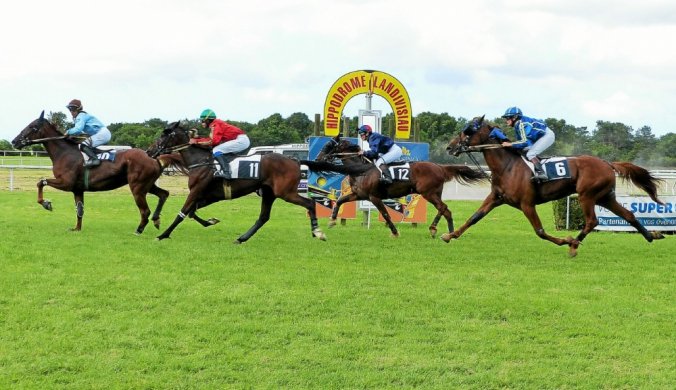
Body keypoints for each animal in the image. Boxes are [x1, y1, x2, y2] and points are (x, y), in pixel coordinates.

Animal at [11, 112, 170, 235]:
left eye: (32, 127)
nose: (14, 141)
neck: (64, 153)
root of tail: (154, 158)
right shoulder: (77, 189)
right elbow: (79, 210)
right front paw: (76, 228)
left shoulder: (66, 183)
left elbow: (40, 182)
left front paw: (46, 204)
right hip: (147, 185)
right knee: (164, 194)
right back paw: (156, 220)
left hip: (137, 187)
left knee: (145, 211)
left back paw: (139, 230)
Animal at [148, 122, 328, 244]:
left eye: (164, 135)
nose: (149, 151)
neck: (201, 161)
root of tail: (295, 161)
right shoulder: (208, 195)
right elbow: (191, 212)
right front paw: (211, 221)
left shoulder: (196, 191)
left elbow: (182, 213)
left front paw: (163, 235)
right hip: (269, 193)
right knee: (263, 217)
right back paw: (241, 238)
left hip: (285, 192)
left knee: (310, 203)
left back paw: (318, 232)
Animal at [302, 134, 486, 238]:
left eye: (328, 145)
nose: (317, 158)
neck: (362, 169)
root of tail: (440, 167)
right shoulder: (359, 194)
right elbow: (340, 201)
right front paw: (332, 221)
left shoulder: (374, 197)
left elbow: (385, 214)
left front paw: (395, 232)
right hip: (434, 193)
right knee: (445, 210)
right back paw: (448, 232)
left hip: (428, 193)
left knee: (444, 208)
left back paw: (436, 229)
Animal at [444, 115, 664, 256]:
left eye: (468, 131)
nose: (449, 147)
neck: (508, 166)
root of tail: (607, 163)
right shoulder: (497, 198)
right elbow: (474, 217)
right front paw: (450, 235)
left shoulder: (527, 204)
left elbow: (540, 231)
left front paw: (565, 240)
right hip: (605, 197)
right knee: (629, 215)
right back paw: (651, 235)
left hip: (587, 195)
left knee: (592, 221)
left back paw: (574, 244)